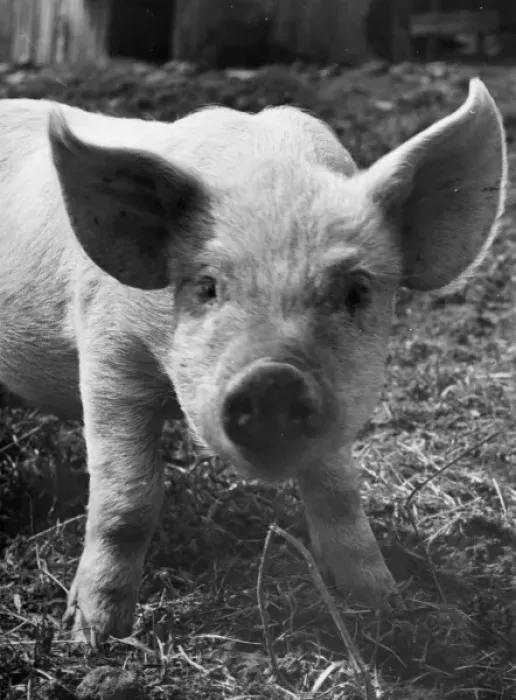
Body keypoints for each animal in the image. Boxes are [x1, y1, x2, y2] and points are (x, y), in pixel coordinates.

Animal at [0, 79, 507, 645]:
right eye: (207, 286)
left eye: (356, 291)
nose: (274, 379)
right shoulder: (109, 351)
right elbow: (127, 498)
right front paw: (93, 636)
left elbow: (339, 492)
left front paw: (384, 602)